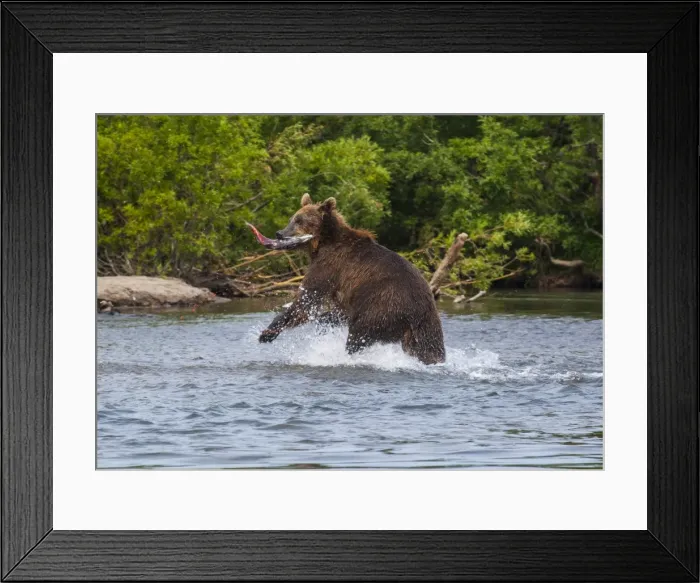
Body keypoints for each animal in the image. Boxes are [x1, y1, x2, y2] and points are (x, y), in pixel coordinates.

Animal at [257, 193, 446, 365]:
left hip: (383, 304)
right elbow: (332, 312)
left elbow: (307, 299)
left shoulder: (330, 266)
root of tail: (419, 311)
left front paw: (267, 333)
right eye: (292, 219)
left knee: (358, 335)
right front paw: (323, 323)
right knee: (429, 347)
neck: (322, 243)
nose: (280, 233)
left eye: (299, 220)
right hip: (426, 324)